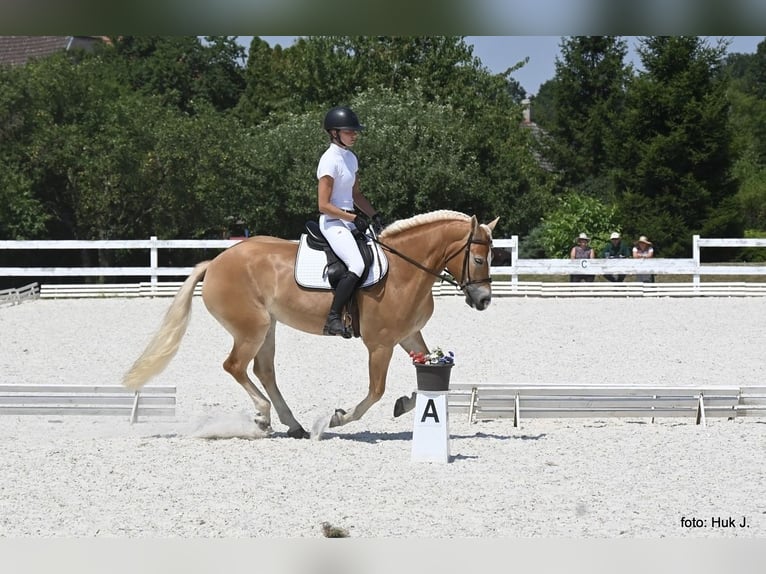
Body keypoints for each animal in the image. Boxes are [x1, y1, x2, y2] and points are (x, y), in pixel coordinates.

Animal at [123, 209, 500, 438]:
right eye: (479, 259)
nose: (483, 300)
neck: (406, 270)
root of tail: (215, 262)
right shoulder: (380, 344)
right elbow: (375, 391)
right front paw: (336, 418)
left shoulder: (408, 336)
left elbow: (428, 377)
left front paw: (406, 403)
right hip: (251, 329)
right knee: (235, 366)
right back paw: (263, 416)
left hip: (268, 327)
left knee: (263, 371)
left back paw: (292, 424)